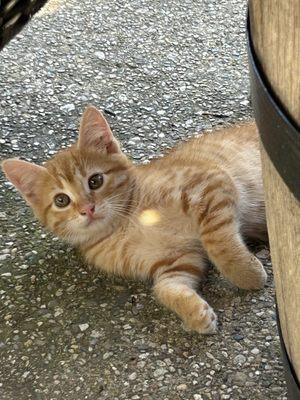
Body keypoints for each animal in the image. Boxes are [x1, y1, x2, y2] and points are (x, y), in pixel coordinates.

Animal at [1, 106, 268, 334]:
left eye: (95, 180)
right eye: (61, 200)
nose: (87, 208)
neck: (125, 225)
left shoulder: (209, 182)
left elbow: (219, 242)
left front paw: (246, 273)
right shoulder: (176, 259)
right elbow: (165, 287)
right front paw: (195, 313)